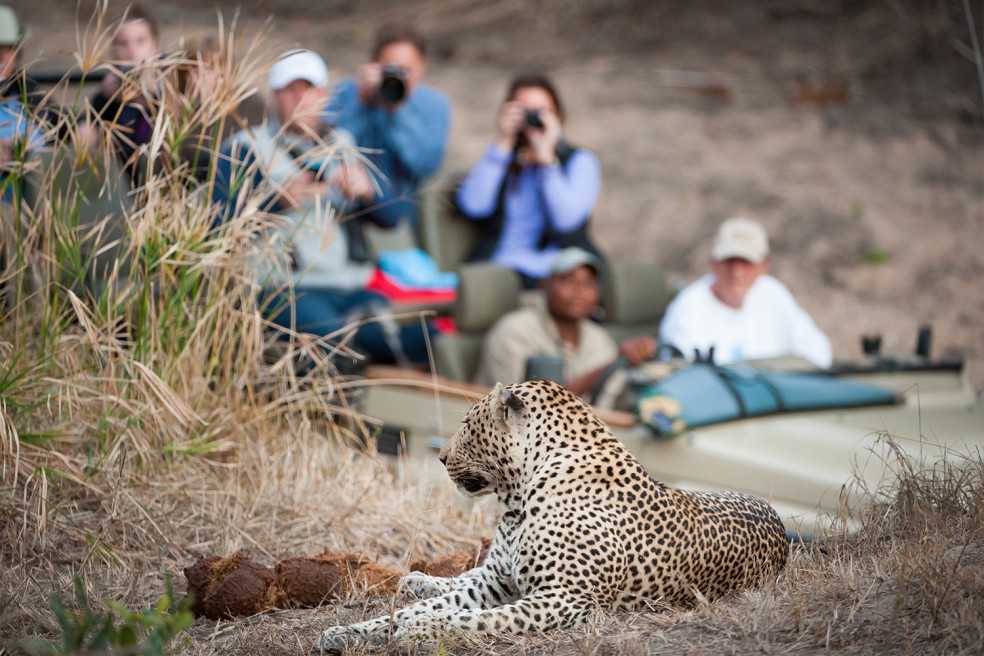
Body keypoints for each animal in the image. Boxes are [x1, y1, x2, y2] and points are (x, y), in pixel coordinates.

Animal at [320, 380, 788, 652]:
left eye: (468, 425)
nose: (440, 456)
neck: (517, 499)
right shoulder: (497, 583)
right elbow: (422, 608)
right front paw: (346, 633)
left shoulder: (565, 597)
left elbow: (472, 618)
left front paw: (420, 633)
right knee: (457, 577)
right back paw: (417, 580)